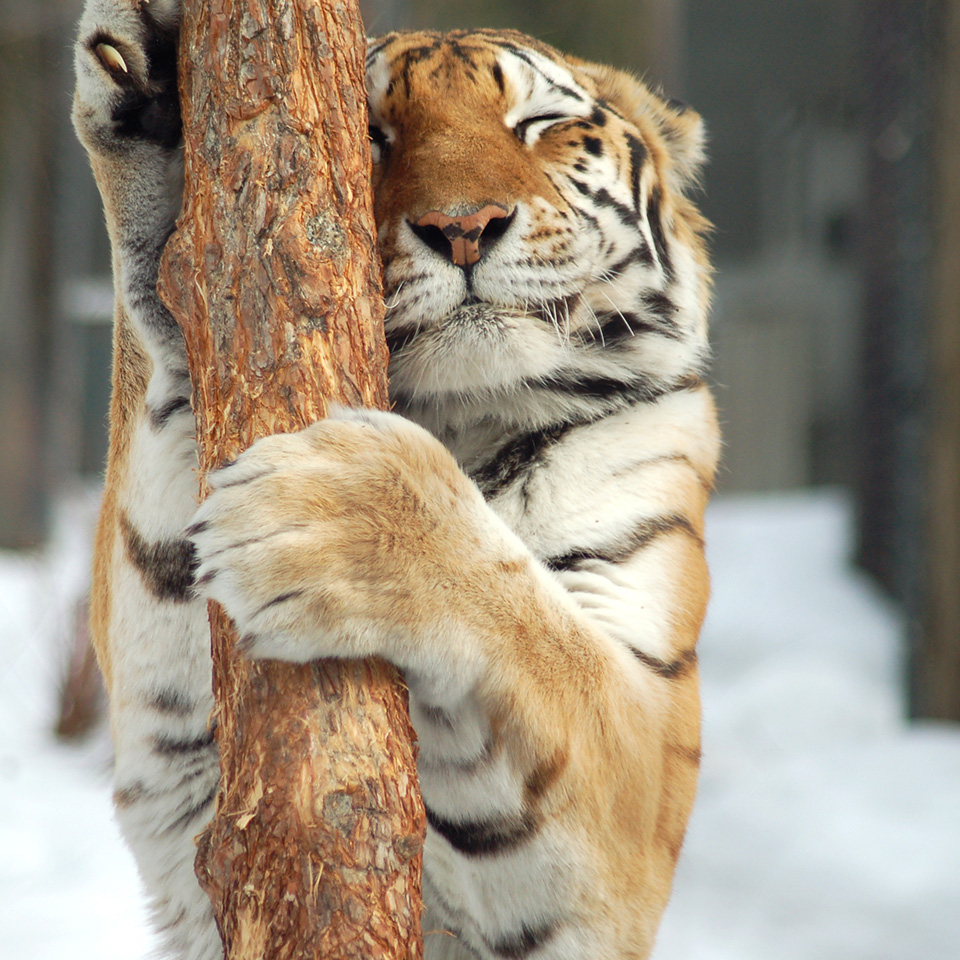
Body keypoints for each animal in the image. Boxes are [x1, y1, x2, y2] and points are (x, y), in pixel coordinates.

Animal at [73, 1, 720, 960]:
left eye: (539, 124)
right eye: (371, 133)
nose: (464, 226)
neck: (466, 415)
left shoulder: (641, 781)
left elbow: (532, 630)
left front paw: (335, 513)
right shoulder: (177, 776)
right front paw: (147, 90)